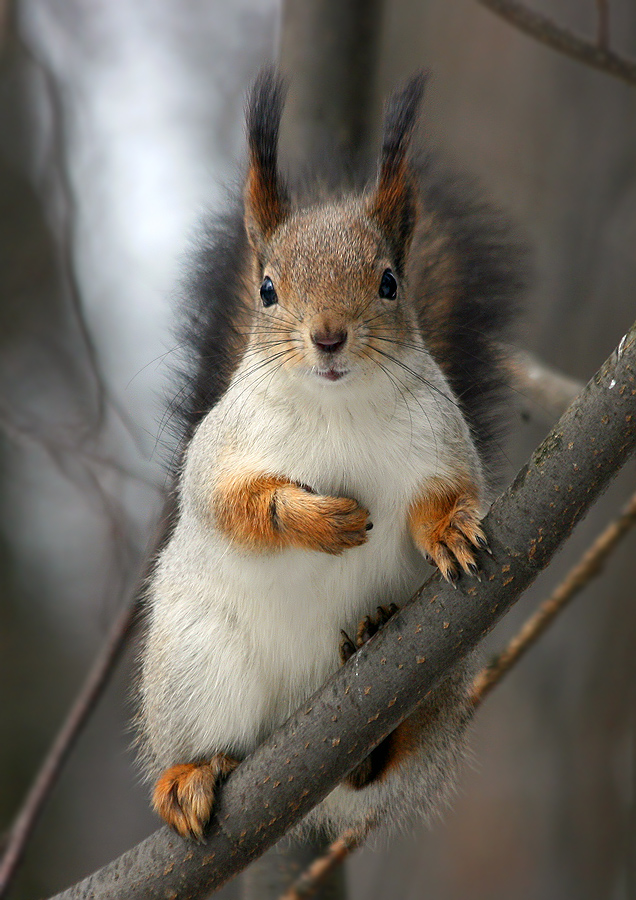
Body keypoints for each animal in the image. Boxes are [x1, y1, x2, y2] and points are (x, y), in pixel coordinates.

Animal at [138, 70, 520, 844]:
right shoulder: (220, 453)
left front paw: (447, 529)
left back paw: (370, 680)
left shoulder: (441, 441)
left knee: (374, 768)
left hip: (438, 677)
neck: (334, 407)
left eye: (389, 282)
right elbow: (229, 505)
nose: (328, 336)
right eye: (267, 289)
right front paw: (315, 519)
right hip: (195, 661)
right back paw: (188, 776)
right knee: (209, 743)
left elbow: (451, 491)